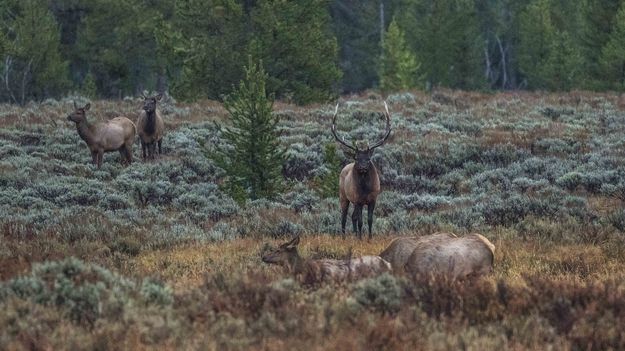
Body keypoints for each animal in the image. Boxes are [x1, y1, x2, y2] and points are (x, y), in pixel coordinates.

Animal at [332, 102, 390, 239]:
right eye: (357, 158)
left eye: (368, 158)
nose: (363, 167)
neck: (365, 189)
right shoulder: (357, 200)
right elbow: (360, 221)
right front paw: (360, 238)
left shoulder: (373, 199)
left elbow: (369, 220)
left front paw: (369, 238)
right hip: (343, 195)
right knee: (343, 217)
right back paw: (344, 237)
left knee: (352, 216)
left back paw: (354, 234)